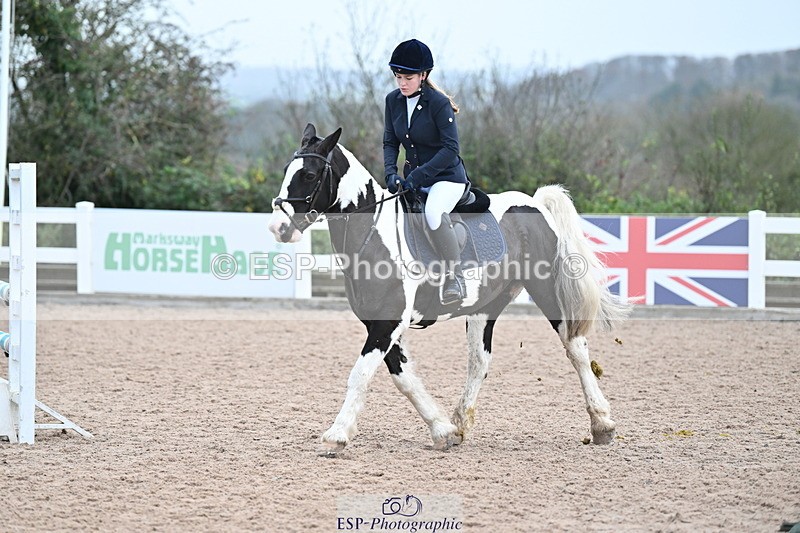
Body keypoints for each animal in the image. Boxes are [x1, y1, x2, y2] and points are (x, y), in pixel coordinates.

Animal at [268, 123, 630, 455]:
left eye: (310, 175)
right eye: (286, 171)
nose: (279, 227)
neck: (373, 235)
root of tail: (534, 203)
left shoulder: (388, 322)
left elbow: (361, 373)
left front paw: (337, 434)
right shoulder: (381, 324)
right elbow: (404, 378)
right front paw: (443, 431)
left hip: (546, 290)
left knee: (575, 348)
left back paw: (602, 424)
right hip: (486, 306)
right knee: (479, 361)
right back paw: (461, 420)